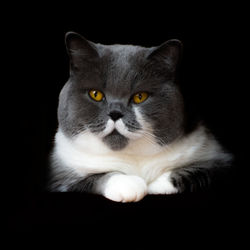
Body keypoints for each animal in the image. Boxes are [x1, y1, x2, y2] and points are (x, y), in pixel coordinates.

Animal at [48, 31, 232, 203]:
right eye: (96, 94)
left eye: (140, 97)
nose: (115, 113)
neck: (133, 157)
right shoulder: (61, 176)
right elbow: (95, 177)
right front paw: (129, 185)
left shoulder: (218, 158)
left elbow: (201, 170)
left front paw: (155, 186)